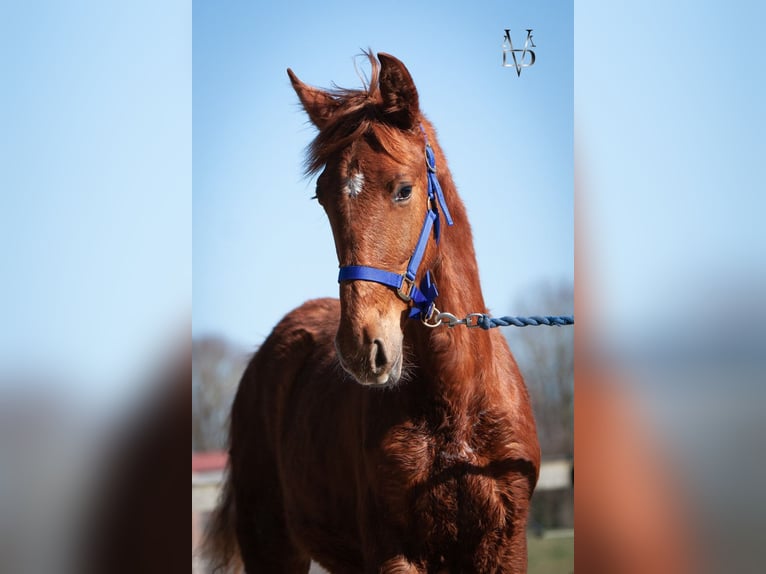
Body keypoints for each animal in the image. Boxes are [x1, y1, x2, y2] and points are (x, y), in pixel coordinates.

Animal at [204, 51, 540, 572]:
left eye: (403, 189)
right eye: (322, 195)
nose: (363, 347)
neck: (456, 400)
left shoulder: (506, 546)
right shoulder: (393, 550)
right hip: (272, 545)